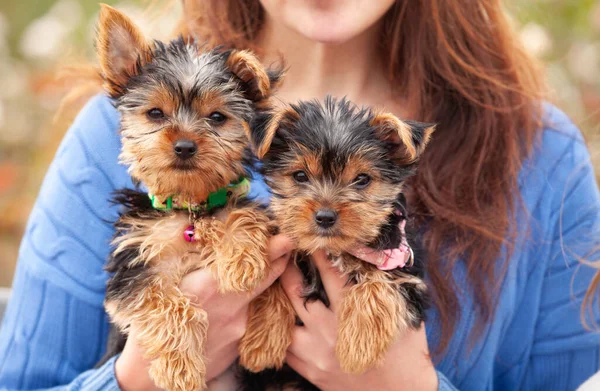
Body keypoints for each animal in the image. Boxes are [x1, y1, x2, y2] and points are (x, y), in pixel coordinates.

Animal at [95, 6, 288, 391]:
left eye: (217, 117)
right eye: (155, 113)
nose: (184, 145)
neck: (190, 209)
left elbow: (249, 229)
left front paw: (242, 262)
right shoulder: (133, 269)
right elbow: (162, 302)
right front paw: (180, 367)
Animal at [241, 96, 434, 390]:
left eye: (362, 179)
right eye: (300, 176)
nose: (325, 216)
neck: (332, 248)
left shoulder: (404, 268)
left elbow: (378, 282)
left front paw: (358, 348)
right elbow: (273, 281)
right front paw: (262, 342)